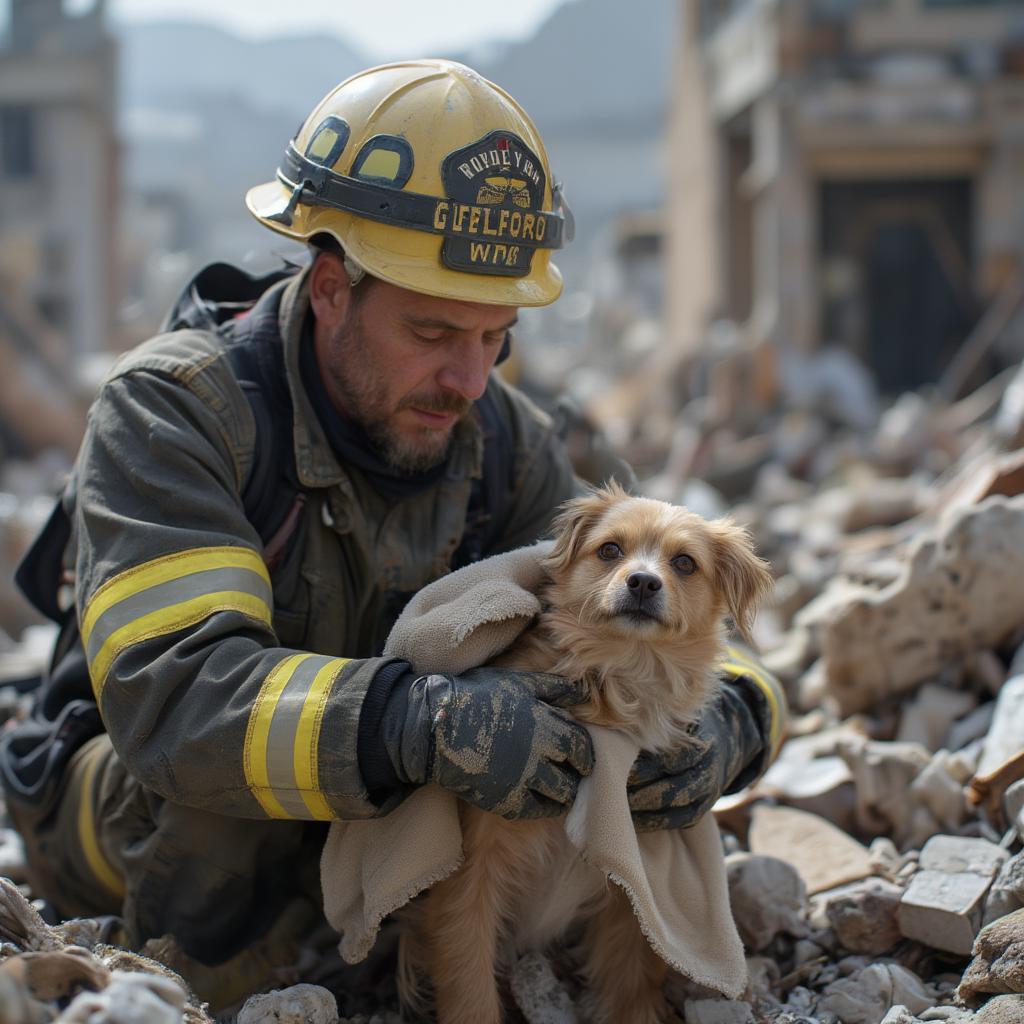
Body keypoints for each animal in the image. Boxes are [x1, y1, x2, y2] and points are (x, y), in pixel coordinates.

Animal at [323, 544, 749, 999]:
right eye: (610, 549)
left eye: (685, 562)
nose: (643, 582)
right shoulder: (474, 865)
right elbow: (468, 975)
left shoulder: (639, 886)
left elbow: (629, 984)